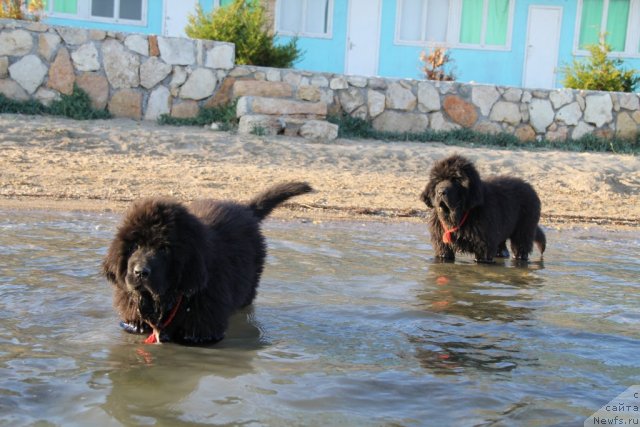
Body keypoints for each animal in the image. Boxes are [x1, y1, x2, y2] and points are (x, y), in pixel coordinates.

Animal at [103, 181, 312, 344]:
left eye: (164, 249)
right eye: (134, 246)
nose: (140, 272)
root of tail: (245, 209)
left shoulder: (202, 330)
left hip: (249, 286)